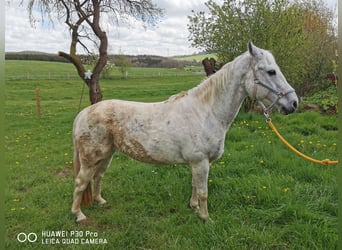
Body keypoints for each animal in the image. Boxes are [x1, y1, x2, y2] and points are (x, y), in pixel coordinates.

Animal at [71, 41, 298, 223]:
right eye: (271, 71)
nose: (293, 103)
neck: (206, 112)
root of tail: (83, 113)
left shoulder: (198, 163)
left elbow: (194, 186)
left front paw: (194, 207)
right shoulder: (200, 161)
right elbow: (204, 191)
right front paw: (206, 218)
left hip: (106, 155)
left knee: (98, 177)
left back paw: (100, 200)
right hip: (91, 158)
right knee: (81, 182)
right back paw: (79, 215)